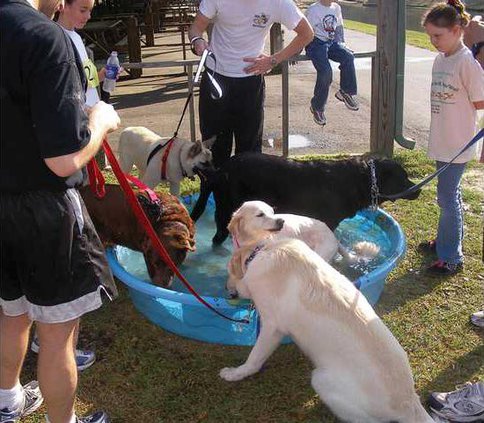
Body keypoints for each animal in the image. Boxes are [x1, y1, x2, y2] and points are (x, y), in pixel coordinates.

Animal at [192, 152, 420, 245]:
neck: (360, 179)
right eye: (403, 177)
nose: (418, 190)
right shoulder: (328, 222)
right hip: (228, 209)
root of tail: (220, 171)